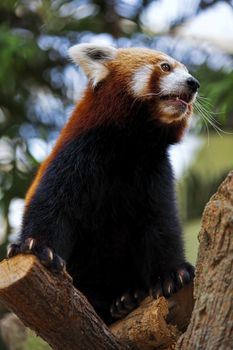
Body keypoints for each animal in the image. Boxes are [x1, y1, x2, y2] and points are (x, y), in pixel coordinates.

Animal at [8, 43, 199, 322]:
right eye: (166, 66)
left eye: (187, 71)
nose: (193, 83)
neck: (131, 144)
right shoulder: (79, 152)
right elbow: (52, 204)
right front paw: (36, 246)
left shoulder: (155, 170)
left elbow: (161, 223)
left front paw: (172, 274)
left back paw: (127, 297)